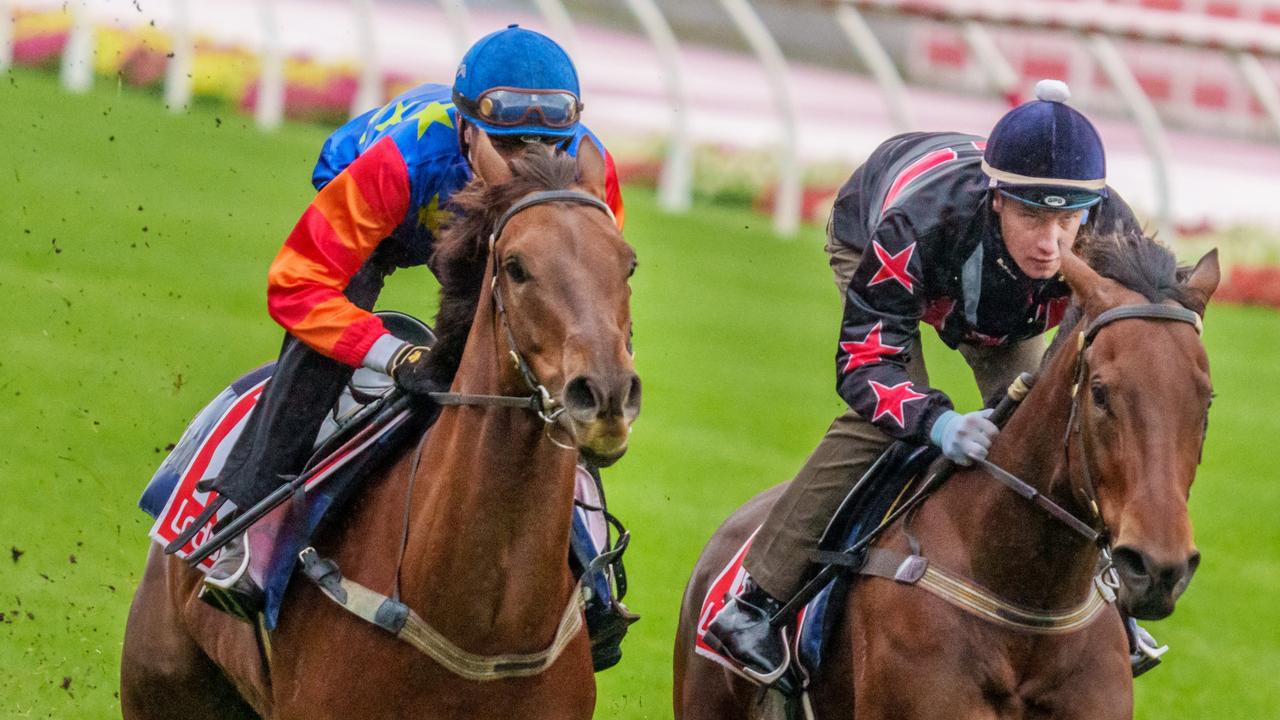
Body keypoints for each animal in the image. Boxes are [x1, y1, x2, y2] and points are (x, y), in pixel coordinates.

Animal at [120, 134, 640, 717]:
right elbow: (305, 279)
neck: (485, 622)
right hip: (159, 681)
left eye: (628, 265)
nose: (605, 395)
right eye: (516, 266)